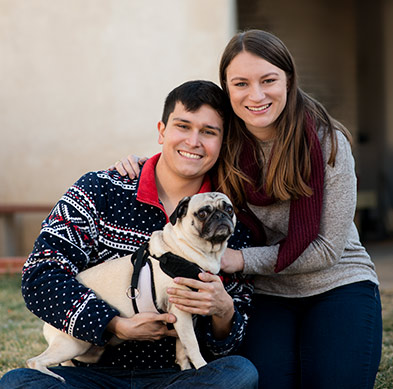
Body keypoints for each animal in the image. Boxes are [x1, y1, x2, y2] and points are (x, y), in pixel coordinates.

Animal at [27, 192, 236, 380]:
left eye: (229, 209)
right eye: (202, 213)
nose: (220, 216)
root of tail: (46, 323)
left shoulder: (184, 319)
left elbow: (182, 350)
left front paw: (186, 371)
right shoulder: (181, 312)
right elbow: (192, 345)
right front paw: (202, 367)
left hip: (88, 351)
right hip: (72, 344)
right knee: (34, 361)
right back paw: (55, 376)